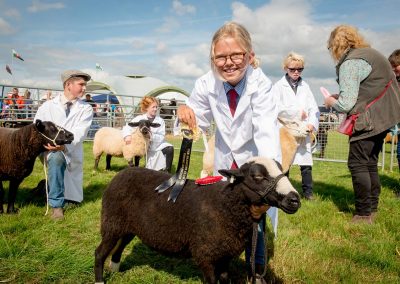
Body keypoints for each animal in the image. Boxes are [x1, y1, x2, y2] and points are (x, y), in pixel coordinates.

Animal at [94, 156, 300, 282]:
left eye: (284, 172)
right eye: (257, 176)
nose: (295, 200)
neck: (226, 205)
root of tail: (122, 173)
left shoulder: (225, 254)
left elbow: (224, 279)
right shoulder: (205, 254)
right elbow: (212, 280)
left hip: (128, 226)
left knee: (119, 246)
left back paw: (115, 268)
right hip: (111, 222)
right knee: (100, 252)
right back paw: (100, 279)